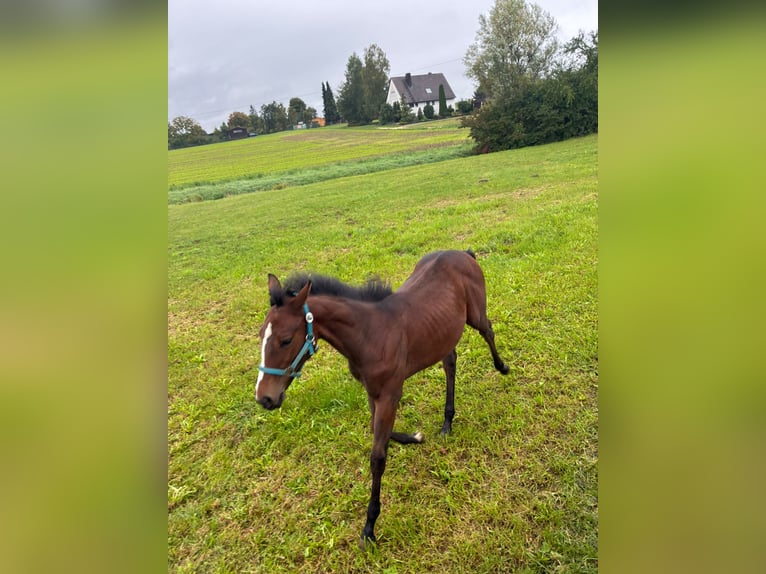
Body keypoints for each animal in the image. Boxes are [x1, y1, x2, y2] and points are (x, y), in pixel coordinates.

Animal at [255, 249, 510, 547]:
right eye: (260, 335)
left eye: (285, 340)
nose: (265, 398)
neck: (369, 334)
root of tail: (464, 253)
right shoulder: (372, 391)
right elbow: (379, 433)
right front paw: (414, 437)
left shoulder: (389, 393)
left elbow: (377, 457)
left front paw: (369, 527)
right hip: (443, 333)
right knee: (450, 361)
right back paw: (447, 422)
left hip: (475, 313)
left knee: (488, 329)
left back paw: (502, 367)